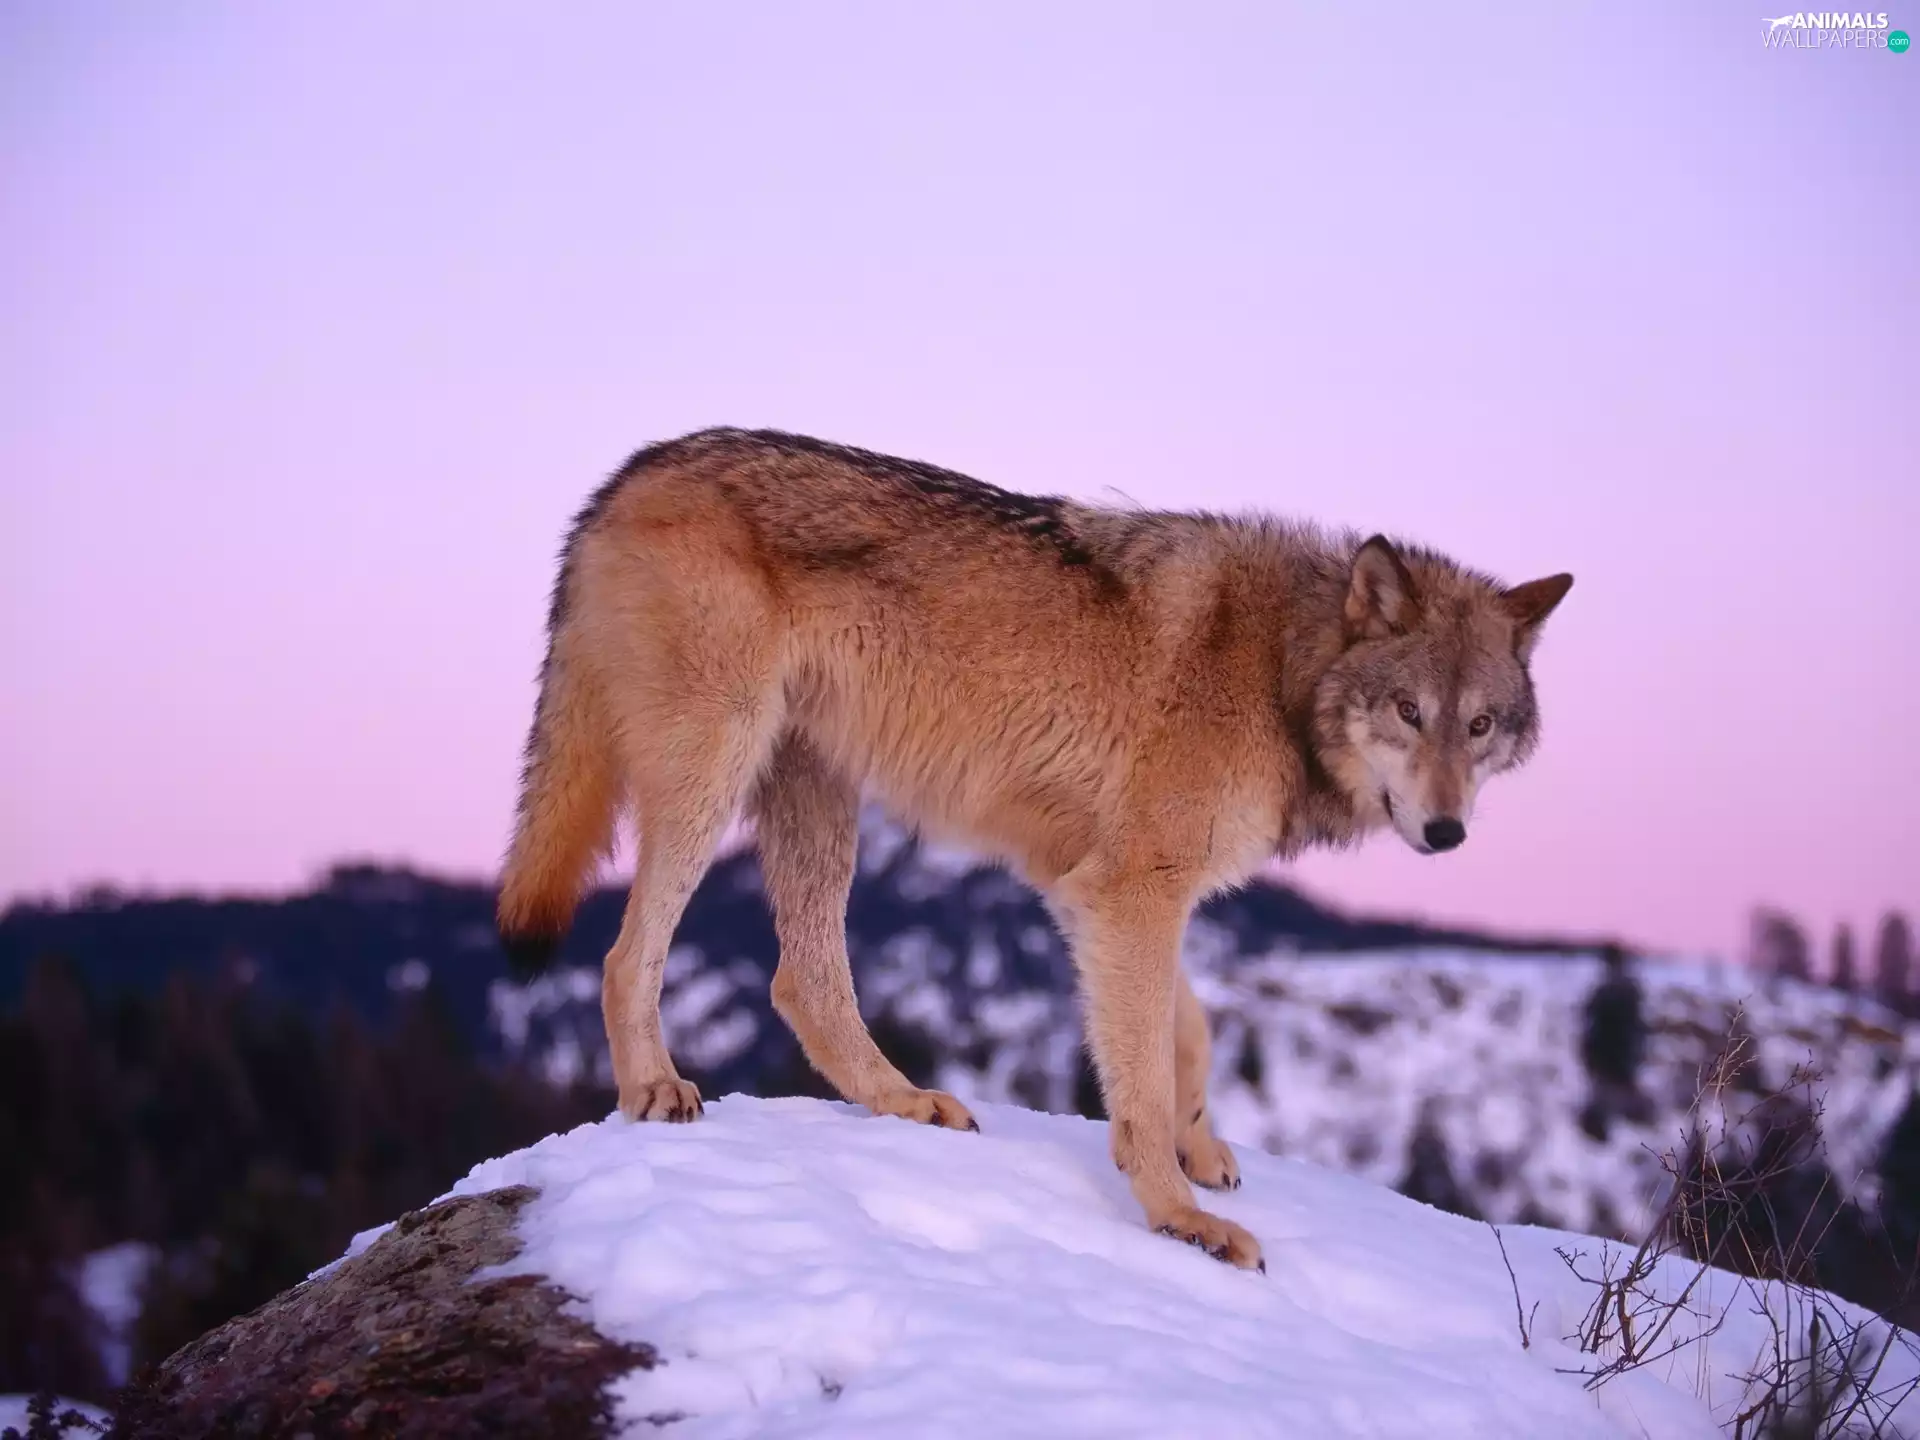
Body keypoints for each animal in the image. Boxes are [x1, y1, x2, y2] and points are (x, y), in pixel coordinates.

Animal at [497, 428, 1572, 1271]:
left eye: (1479, 726)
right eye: (1408, 712)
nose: (1446, 831)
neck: (1280, 669)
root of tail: (630, 472)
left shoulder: (1090, 885)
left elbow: (1188, 1031)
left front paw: (1195, 1151)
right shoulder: (1132, 891)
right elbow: (1145, 1067)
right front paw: (1178, 1217)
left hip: (816, 796)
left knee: (801, 982)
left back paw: (904, 1102)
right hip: (713, 772)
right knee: (625, 955)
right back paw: (654, 1090)